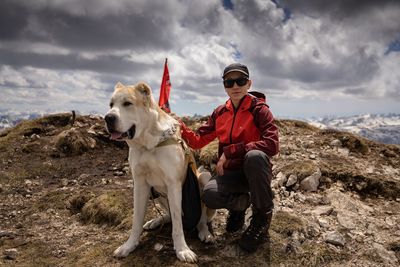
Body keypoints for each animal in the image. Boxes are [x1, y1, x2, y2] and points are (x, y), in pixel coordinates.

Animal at [104, 82, 214, 264]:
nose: (108, 118)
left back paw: (205, 232)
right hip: (156, 193)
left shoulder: (173, 184)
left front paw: (182, 249)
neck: (148, 144)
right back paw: (155, 221)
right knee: (168, 215)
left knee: (202, 218)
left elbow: (177, 224)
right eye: (111, 105)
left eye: (127, 103)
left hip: (204, 178)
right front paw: (129, 245)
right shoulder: (140, 184)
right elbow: (137, 219)